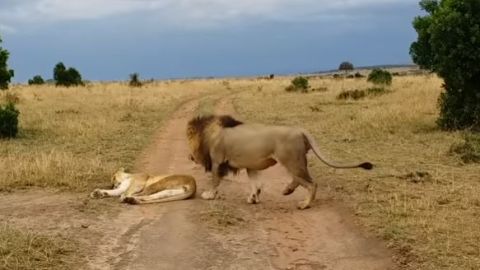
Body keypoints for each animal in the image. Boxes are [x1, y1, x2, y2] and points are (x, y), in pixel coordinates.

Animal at [186, 114, 374, 209]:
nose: (190, 157)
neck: (209, 133)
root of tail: (299, 129)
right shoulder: (251, 165)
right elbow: (255, 183)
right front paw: (253, 198)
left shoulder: (217, 161)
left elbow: (215, 181)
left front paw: (209, 195)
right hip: (297, 162)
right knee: (301, 180)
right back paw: (287, 190)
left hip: (291, 161)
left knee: (312, 183)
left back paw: (304, 204)